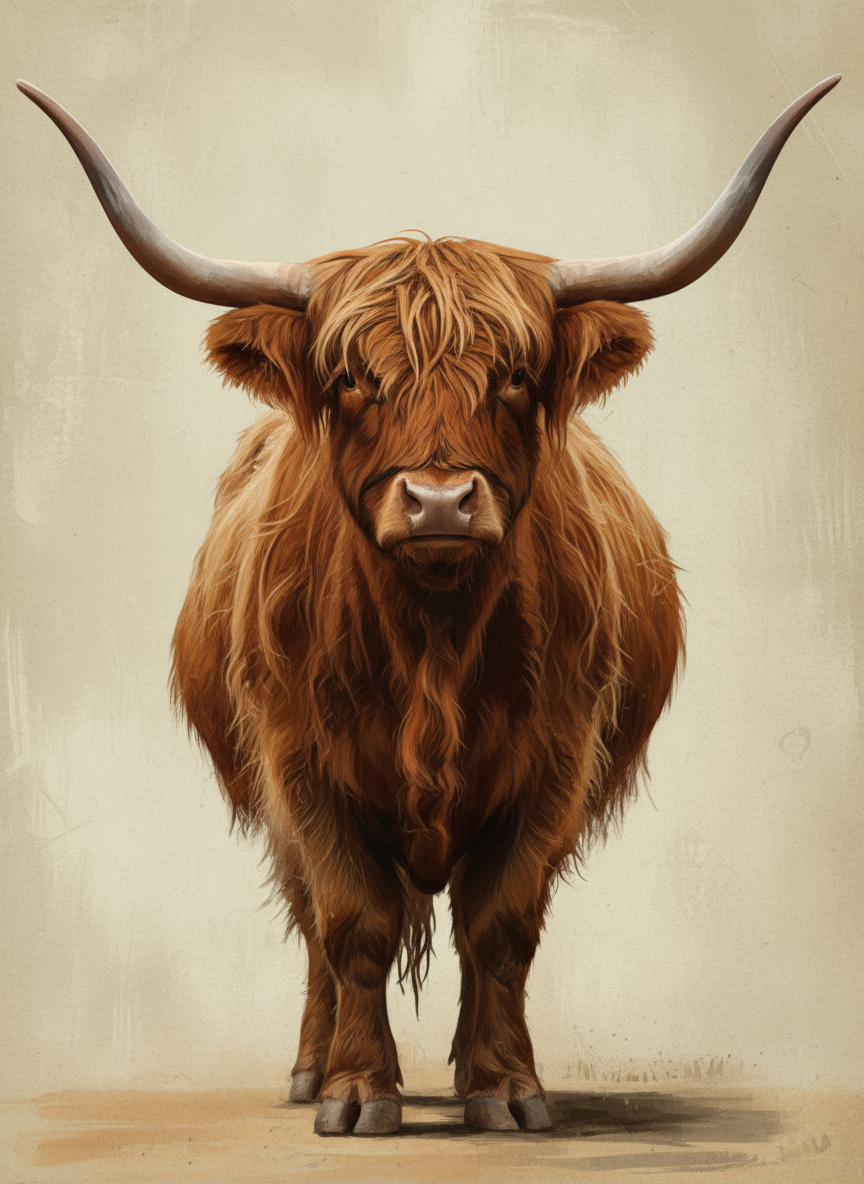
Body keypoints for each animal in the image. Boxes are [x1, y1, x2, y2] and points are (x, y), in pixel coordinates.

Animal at [18, 75, 839, 1137]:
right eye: (351, 378)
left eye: (516, 374)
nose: (441, 501)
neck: (433, 645)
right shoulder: (298, 764)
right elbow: (351, 923)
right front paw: (356, 1093)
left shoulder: (555, 761)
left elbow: (501, 927)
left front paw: (505, 1089)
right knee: (313, 932)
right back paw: (307, 1068)